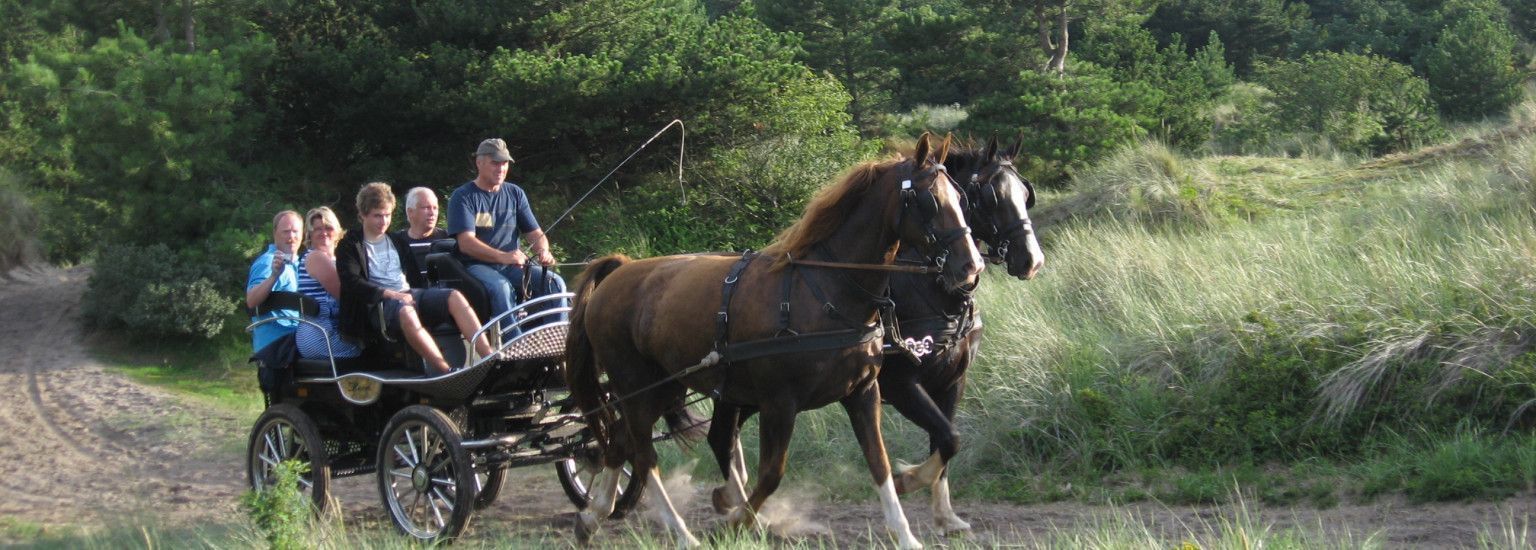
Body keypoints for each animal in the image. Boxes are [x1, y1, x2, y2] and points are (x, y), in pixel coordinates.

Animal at [565, 132, 983, 546]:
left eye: (962, 198)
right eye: (930, 199)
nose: (971, 266)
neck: (823, 290)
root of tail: (620, 270)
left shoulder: (864, 392)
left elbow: (880, 462)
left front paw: (905, 525)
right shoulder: (779, 403)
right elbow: (771, 474)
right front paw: (736, 521)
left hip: (666, 386)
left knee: (620, 442)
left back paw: (592, 516)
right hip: (638, 386)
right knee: (642, 454)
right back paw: (681, 532)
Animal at [703, 135, 1044, 534]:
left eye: (1025, 193)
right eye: (991, 196)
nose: (1032, 260)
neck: (927, 289)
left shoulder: (952, 382)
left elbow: (943, 442)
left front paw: (944, 515)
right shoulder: (900, 384)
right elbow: (948, 439)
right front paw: (906, 480)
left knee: (725, 435)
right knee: (720, 435)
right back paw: (735, 501)